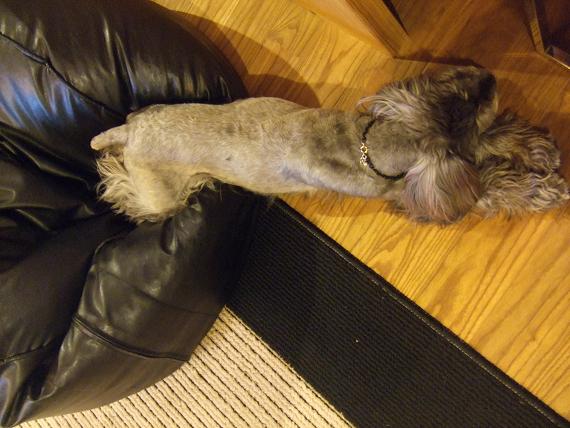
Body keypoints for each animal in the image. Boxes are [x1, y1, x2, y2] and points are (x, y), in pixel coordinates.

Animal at [91, 66, 569, 224]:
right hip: (159, 194)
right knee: (123, 186)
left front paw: (538, 151)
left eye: (464, 92)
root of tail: (129, 132)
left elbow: (499, 142)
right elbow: (496, 186)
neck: (366, 144)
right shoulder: (419, 189)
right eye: (476, 100)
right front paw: (548, 188)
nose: (489, 76)